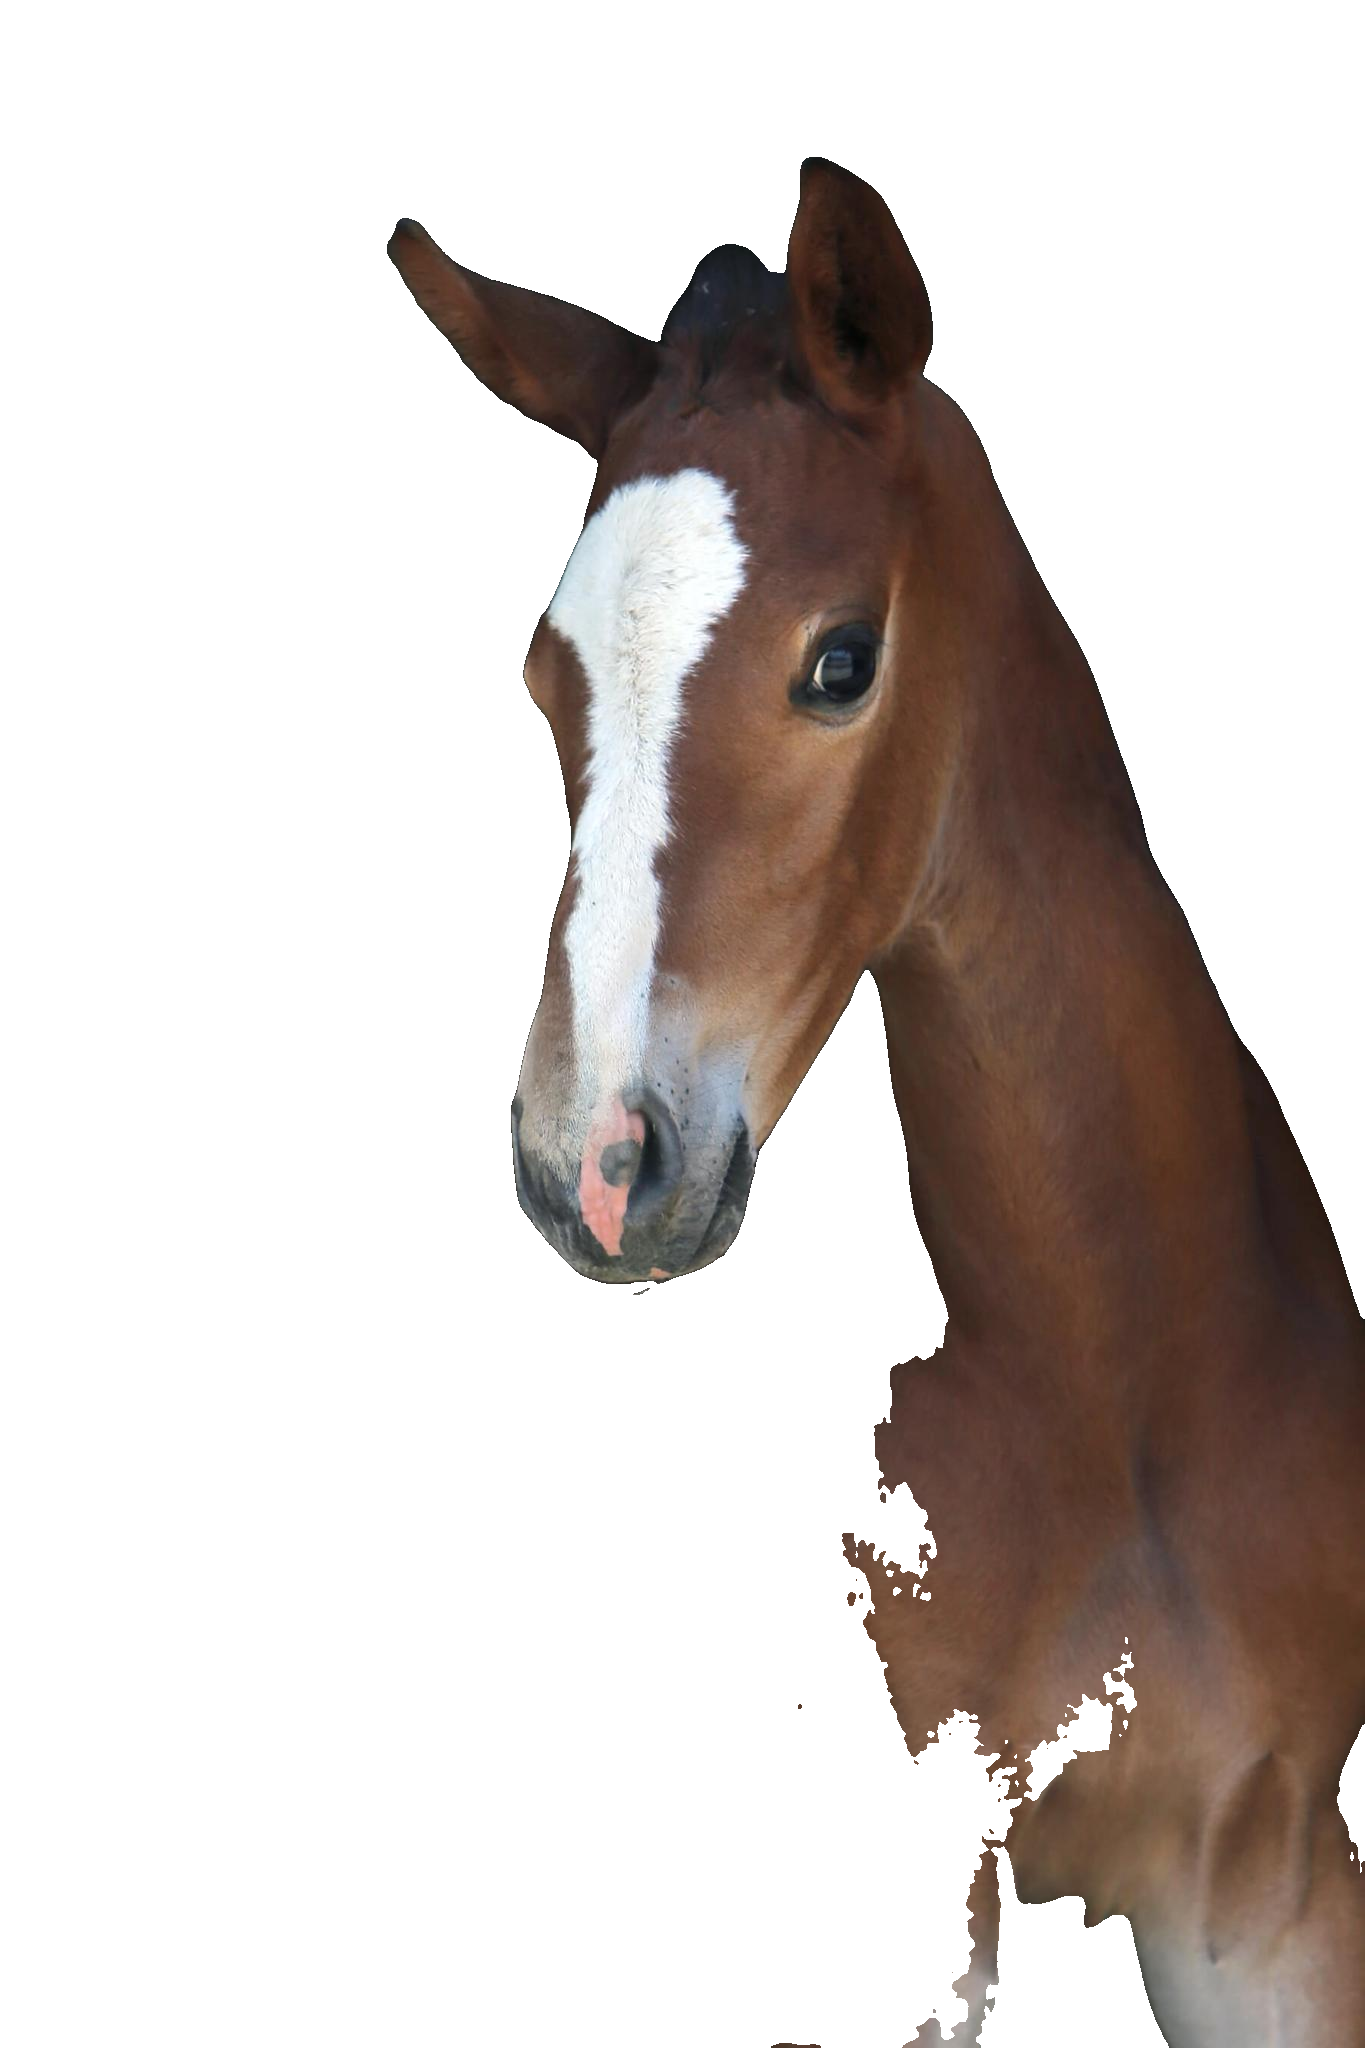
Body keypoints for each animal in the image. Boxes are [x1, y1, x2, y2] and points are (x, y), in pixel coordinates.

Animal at [389, 159, 1364, 2045]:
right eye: (546, 682)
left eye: (842, 663)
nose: (592, 1166)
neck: (1117, 1383)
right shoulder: (908, 1903)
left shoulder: (1272, 1886)